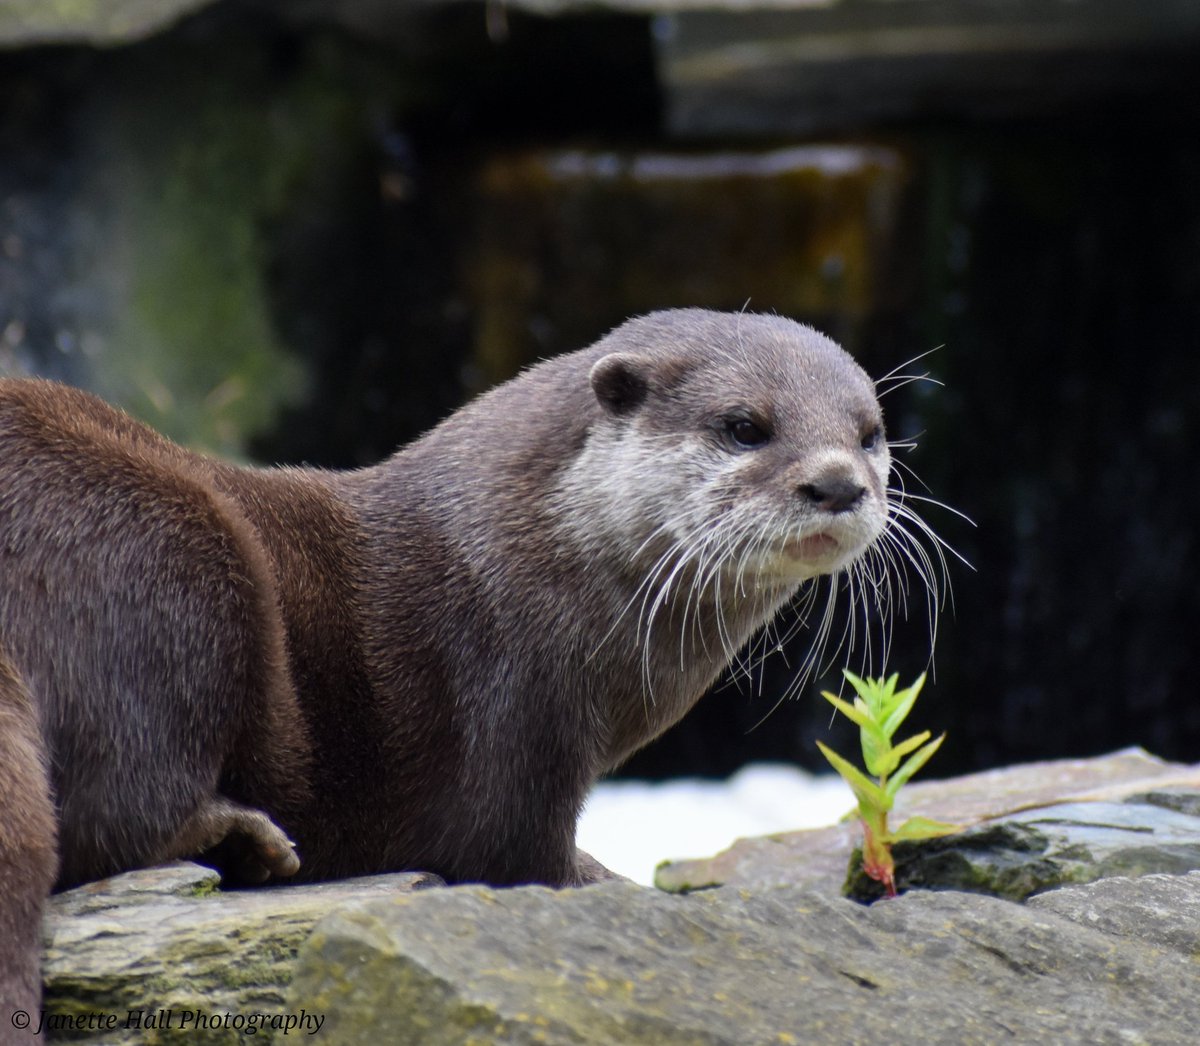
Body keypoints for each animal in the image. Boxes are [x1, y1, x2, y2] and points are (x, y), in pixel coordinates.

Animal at [0, 309, 909, 1018]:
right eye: (744, 425)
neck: (504, 569)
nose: (839, 483)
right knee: (116, 813)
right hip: (169, 555)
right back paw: (246, 842)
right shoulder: (513, 728)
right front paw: (612, 888)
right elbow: (517, 859)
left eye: (869, 434)